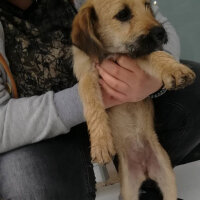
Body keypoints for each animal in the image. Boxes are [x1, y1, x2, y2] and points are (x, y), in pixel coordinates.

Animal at [71, 0, 195, 199]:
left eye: (147, 5)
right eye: (123, 14)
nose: (161, 32)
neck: (111, 53)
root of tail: (145, 169)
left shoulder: (140, 53)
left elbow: (156, 54)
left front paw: (175, 69)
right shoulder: (86, 76)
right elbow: (92, 105)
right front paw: (100, 143)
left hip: (167, 179)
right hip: (129, 189)